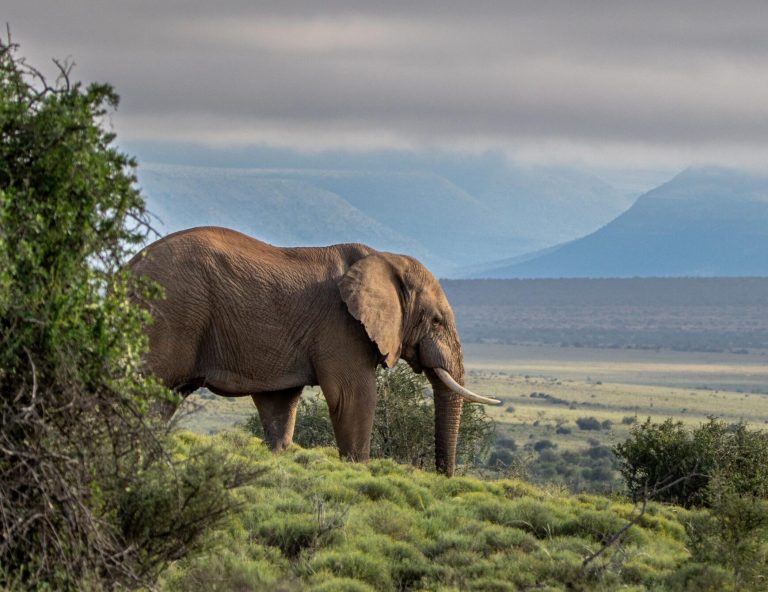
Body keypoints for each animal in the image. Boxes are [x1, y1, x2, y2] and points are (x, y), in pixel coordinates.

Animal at [128, 226, 499, 476]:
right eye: (435, 320)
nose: (442, 477)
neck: (383, 258)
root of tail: (126, 270)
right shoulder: (341, 326)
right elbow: (352, 397)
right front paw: (357, 471)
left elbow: (279, 406)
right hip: (168, 313)